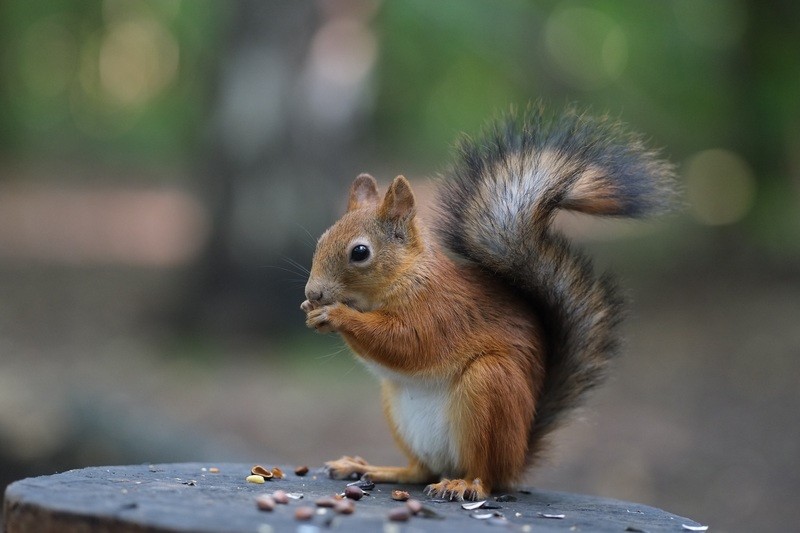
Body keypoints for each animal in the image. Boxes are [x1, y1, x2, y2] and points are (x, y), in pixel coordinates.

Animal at [300, 104, 676, 498]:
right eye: (322, 240)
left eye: (360, 252)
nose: (313, 292)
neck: (407, 275)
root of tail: (517, 458)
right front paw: (311, 311)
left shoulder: (441, 312)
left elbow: (405, 342)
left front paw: (336, 314)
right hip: (399, 409)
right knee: (418, 471)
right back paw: (372, 468)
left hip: (490, 386)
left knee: (486, 474)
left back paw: (464, 484)